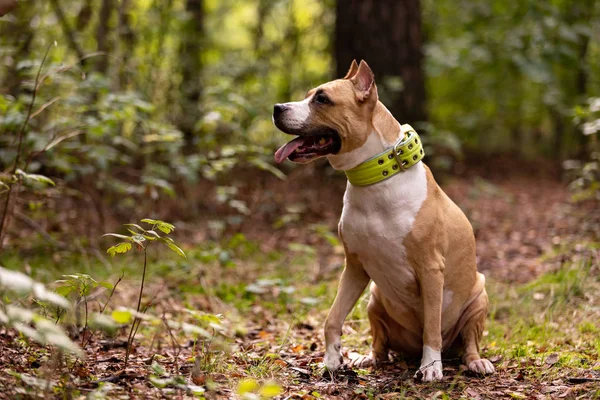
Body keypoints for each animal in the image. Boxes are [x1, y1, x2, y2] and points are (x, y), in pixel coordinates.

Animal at [274, 59, 494, 382]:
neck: (375, 179)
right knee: (381, 344)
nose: (276, 108)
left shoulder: (431, 270)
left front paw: (431, 367)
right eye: (308, 95)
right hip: (374, 299)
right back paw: (368, 358)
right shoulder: (354, 267)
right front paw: (331, 360)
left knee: (468, 343)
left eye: (322, 99)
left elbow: (431, 326)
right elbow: (332, 318)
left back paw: (475, 362)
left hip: (478, 297)